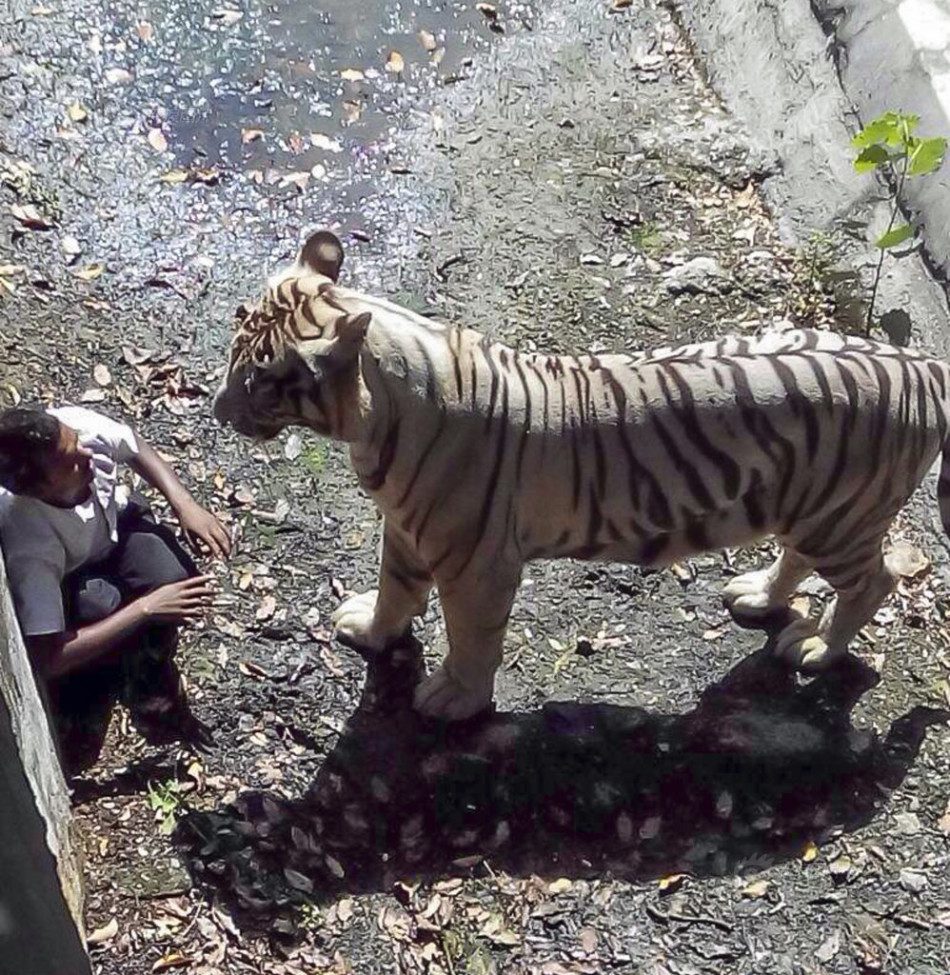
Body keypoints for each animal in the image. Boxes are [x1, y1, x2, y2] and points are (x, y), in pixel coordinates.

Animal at [214, 236, 950, 720]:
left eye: (260, 380)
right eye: (234, 346)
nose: (217, 409)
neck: (374, 420)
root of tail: (923, 364)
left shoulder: (476, 563)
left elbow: (473, 636)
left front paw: (454, 698)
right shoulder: (405, 529)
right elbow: (396, 591)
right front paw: (370, 629)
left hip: (843, 518)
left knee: (875, 581)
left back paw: (819, 646)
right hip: (803, 505)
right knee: (798, 558)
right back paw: (759, 595)